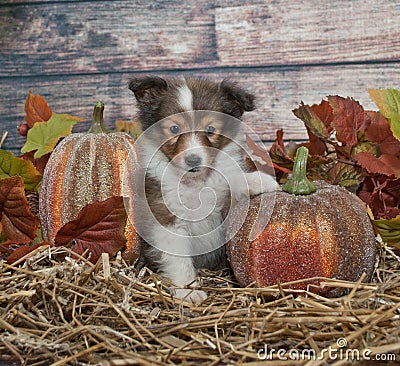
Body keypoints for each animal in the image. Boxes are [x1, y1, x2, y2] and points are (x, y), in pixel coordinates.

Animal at [129, 76, 278, 304]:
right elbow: (179, 259)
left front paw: (257, 181)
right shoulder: (167, 219)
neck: (196, 183)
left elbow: (229, 181)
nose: (193, 160)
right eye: (174, 129)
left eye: (210, 130)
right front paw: (188, 291)